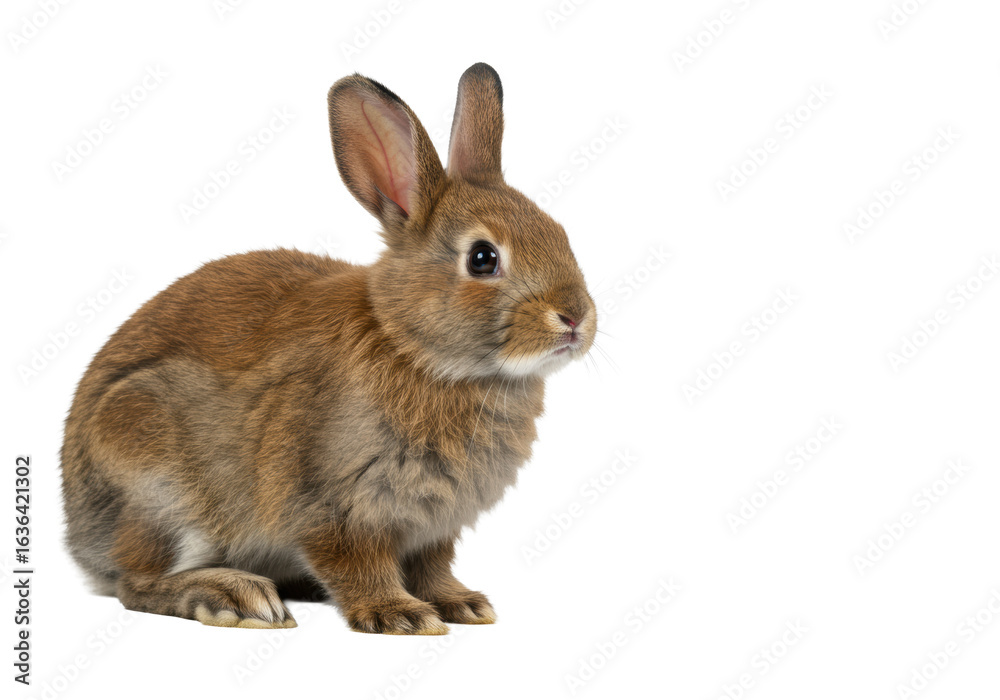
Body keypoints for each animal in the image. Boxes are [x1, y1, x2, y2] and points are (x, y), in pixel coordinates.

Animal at [60, 63, 596, 634]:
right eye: (482, 258)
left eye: (559, 232)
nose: (575, 317)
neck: (413, 348)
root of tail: (79, 537)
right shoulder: (332, 506)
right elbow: (357, 564)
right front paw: (400, 615)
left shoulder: (432, 530)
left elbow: (432, 568)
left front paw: (463, 604)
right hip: (157, 479)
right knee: (135, 582)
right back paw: (235, 596)